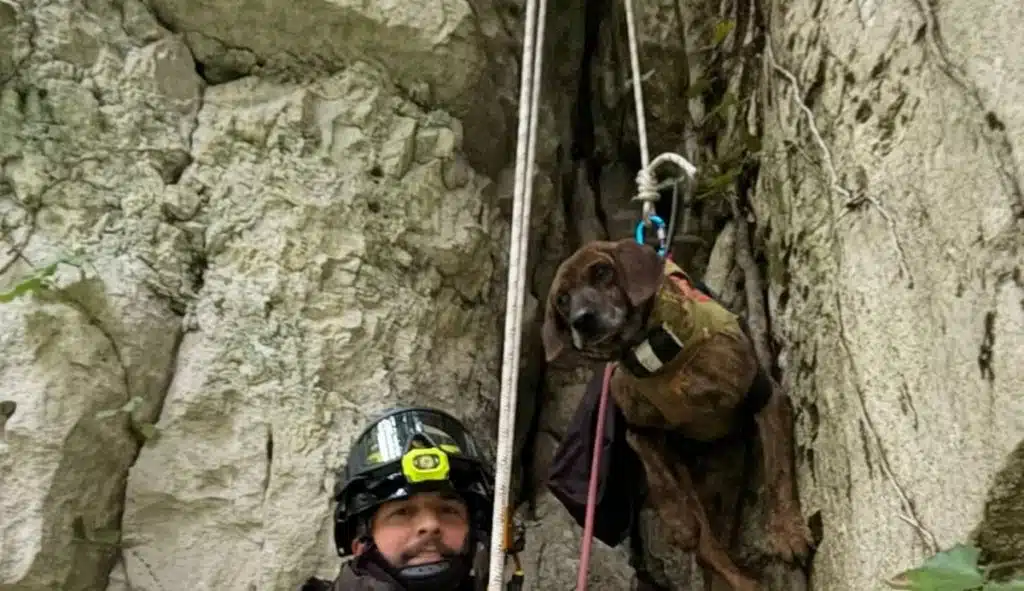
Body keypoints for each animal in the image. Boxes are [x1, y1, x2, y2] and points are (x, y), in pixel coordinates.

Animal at [540, 237, 811, 585]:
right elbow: (659, 474)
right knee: (708, 548)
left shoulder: (766, 397)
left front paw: (786, 533)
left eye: (602, 271)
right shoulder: (639, 431)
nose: (581, 320)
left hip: (727, 484)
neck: (657, 358)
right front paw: (677, 520)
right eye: (562, 300)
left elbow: (777, 473)